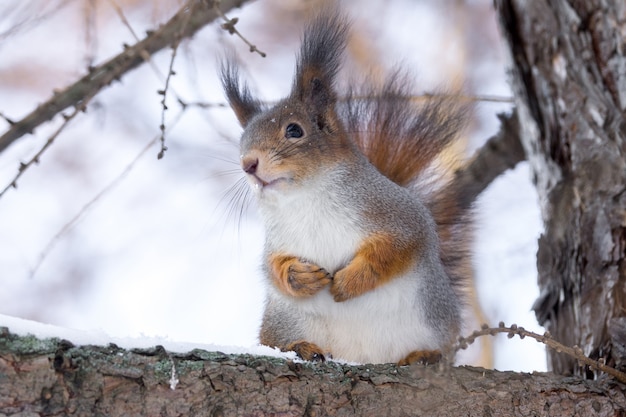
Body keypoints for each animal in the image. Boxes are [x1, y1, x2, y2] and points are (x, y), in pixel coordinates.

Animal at [222, 7, 470, 364]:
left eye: (294, 130)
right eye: (243, 141)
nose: (248, 164)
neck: (303, 197)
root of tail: (360, 356)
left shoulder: (400, 215)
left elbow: (396, 248)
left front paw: (351, 281)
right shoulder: (277, 241)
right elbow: (272, 268)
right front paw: (299, 276)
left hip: (432, 317)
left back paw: (424, 356)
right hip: (284, 322)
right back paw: (301, 347)